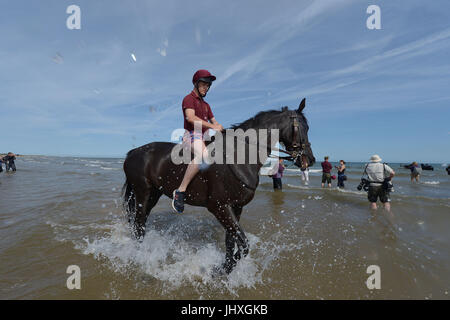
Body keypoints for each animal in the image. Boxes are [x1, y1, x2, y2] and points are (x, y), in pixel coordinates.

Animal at [121, 97, 314, 272]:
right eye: (300, 128)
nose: (310, 160)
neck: (239, 157)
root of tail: (133, 152)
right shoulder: (219, 207)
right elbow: (244, 245)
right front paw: (225, 268)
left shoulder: (236, 207)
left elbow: (231, 242)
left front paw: (225, 269)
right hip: (143, 193)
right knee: (138, 224)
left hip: (153, 194)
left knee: (140, 224)